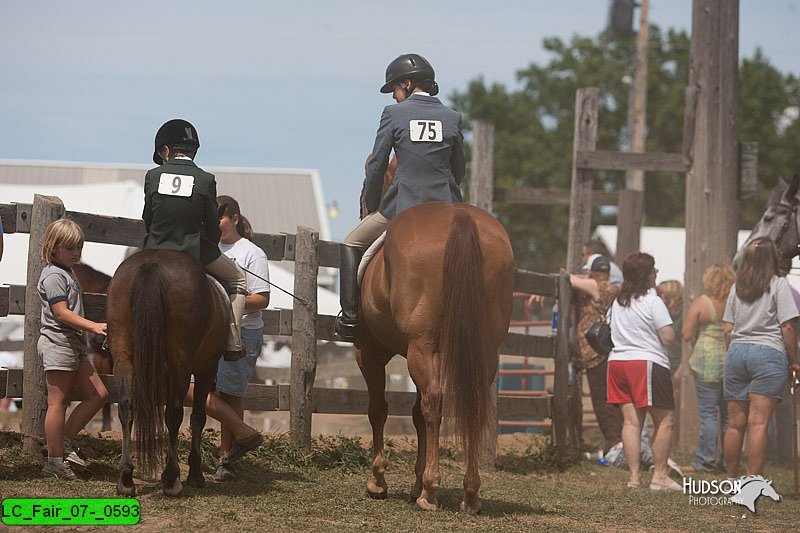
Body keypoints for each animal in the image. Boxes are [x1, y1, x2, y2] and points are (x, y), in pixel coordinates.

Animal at [104, 249, 228, 494]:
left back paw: (126, 479)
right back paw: (172, 479)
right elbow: (197, 416)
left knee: (126, 406)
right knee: (174, 413)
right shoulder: (207, 369)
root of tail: (152, 262)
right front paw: (195, 473)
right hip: (181, 365)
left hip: (124, 358)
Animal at [354, 158, 512, 512]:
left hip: (420, 346)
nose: (363, 207)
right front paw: (414, 482)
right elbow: (415, 415)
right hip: (482, 350)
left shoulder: (369, 351)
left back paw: (430, 492)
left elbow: (378, 409)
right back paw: (470, 494)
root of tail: (459, 219)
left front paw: (378, 480)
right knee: (469, 403)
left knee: (433, 402)